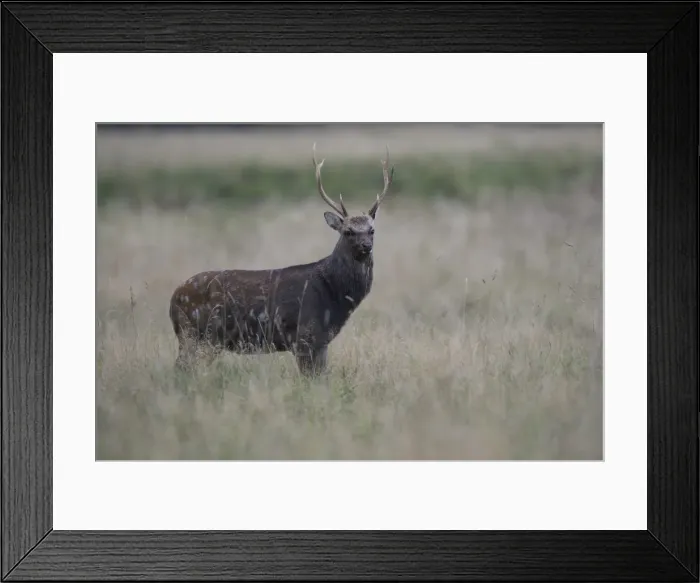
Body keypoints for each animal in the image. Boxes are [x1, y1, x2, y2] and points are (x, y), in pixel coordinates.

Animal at [168, 144, 395, 377]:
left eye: (371, 230)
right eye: (348, 231)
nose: (366, 246)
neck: (334, 294)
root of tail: (173, 298)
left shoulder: (321, 341)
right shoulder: (305, 334)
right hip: (194, 333)